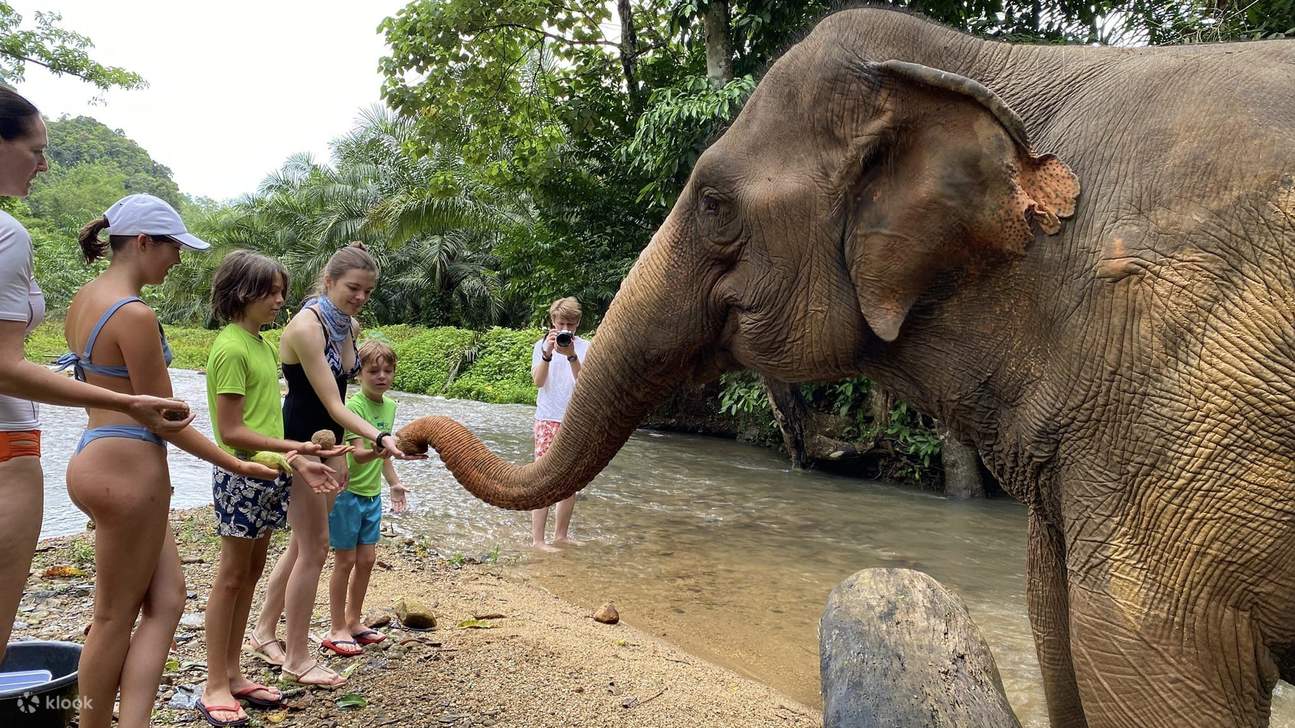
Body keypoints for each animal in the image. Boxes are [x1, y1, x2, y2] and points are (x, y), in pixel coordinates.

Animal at [396, 7, 1295, 728]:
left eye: (713, 202)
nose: (405, 439)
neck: (996, 63)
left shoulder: (1181, 387)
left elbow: (1142, 667)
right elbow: (1057, 638)